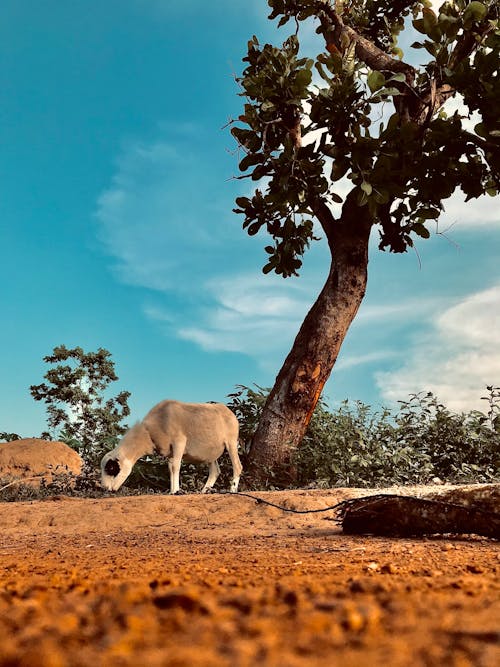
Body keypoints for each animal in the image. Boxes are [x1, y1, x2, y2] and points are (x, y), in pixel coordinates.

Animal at [99, 400, 242, 494]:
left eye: (111, 468)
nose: (105, 489)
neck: (149, 433)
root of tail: (229, 412)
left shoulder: (179, 442)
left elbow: (175, 466)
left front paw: (176, 491)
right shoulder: (170, 451)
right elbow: (170, 468)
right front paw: (172, 491)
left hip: (231, 442)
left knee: (237, 466)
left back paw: (232, 490)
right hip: (211, 452)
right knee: (215, 471)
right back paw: (204, 491)